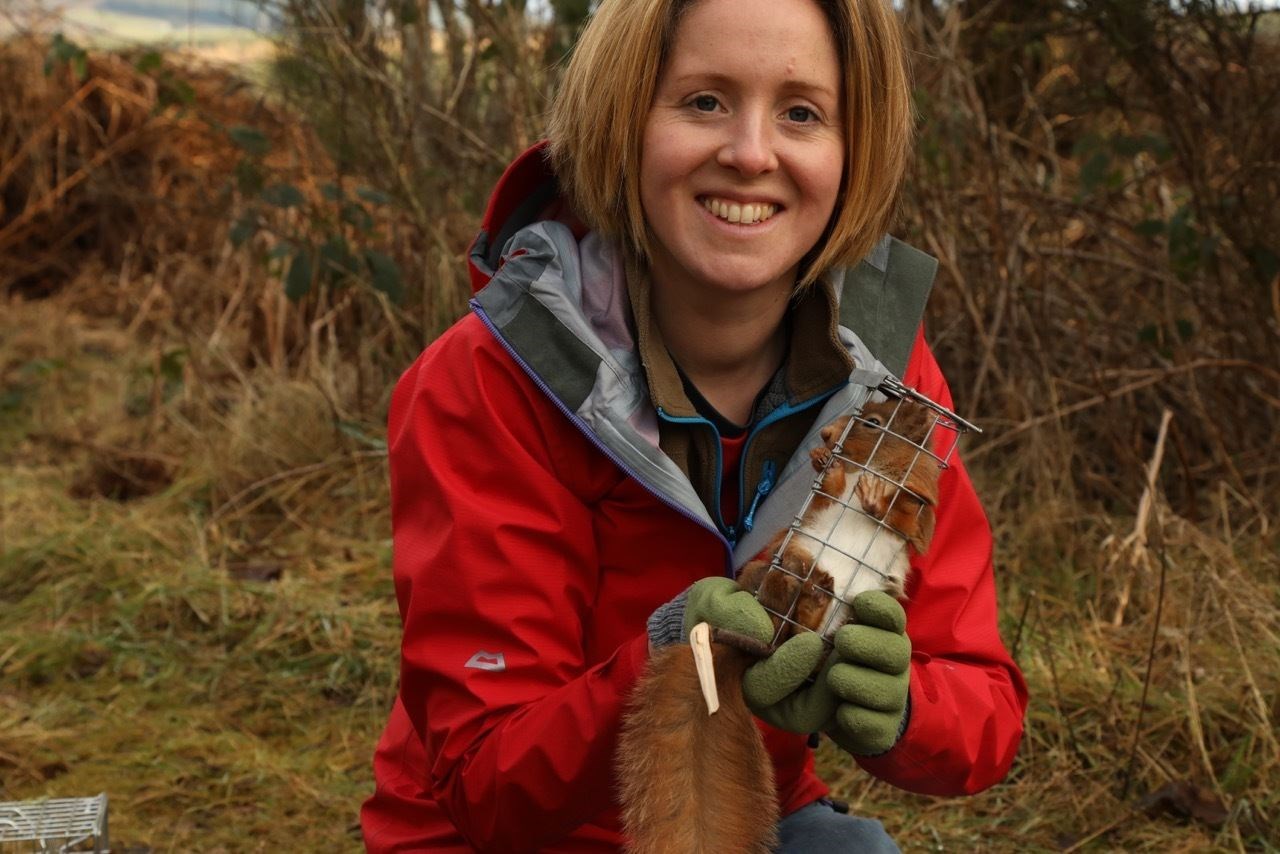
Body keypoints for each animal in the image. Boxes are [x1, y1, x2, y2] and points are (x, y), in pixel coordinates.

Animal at [616, 402, 942, 854]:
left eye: (875, 424)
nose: (827, 435)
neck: (873, 467)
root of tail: (762, 641)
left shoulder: (920, 510)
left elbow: (906, 518)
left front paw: (876, 497)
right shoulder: (827, 500)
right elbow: (832, 488)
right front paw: (825, 463)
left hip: (845, 615)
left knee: (805, 636)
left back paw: (818, 603)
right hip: (788, 560)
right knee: (793, 617)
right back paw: (809, 593)